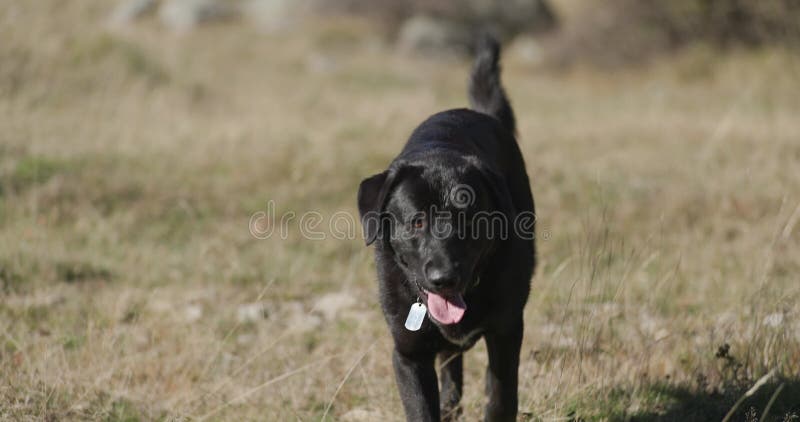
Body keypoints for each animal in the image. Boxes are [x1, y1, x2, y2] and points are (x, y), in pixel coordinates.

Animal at [358, 37, 536, 422]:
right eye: (417, 221)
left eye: (469, 219)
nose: (444, 278)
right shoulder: (408, 354)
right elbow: (423, 408)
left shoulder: (506, 332)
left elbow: (500, 400)